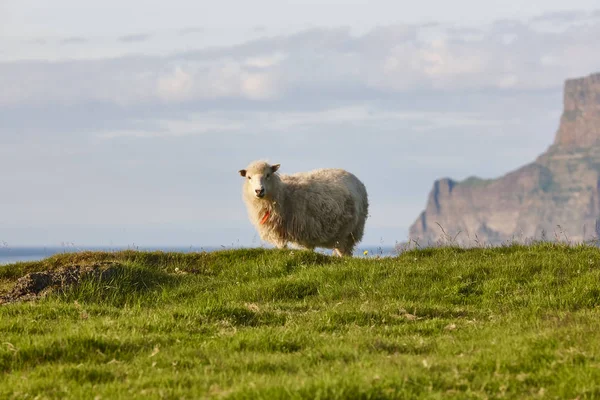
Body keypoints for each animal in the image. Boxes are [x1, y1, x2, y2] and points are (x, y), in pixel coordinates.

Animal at [237, 160, 368, 256]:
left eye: (268, 175)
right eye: (249, 177)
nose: (259, 191)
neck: (284, 194)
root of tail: (355, 178)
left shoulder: (306, 227)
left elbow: (306, 248)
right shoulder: (279, 231)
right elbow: (282, 247)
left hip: (350, 231)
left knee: (344, 252)